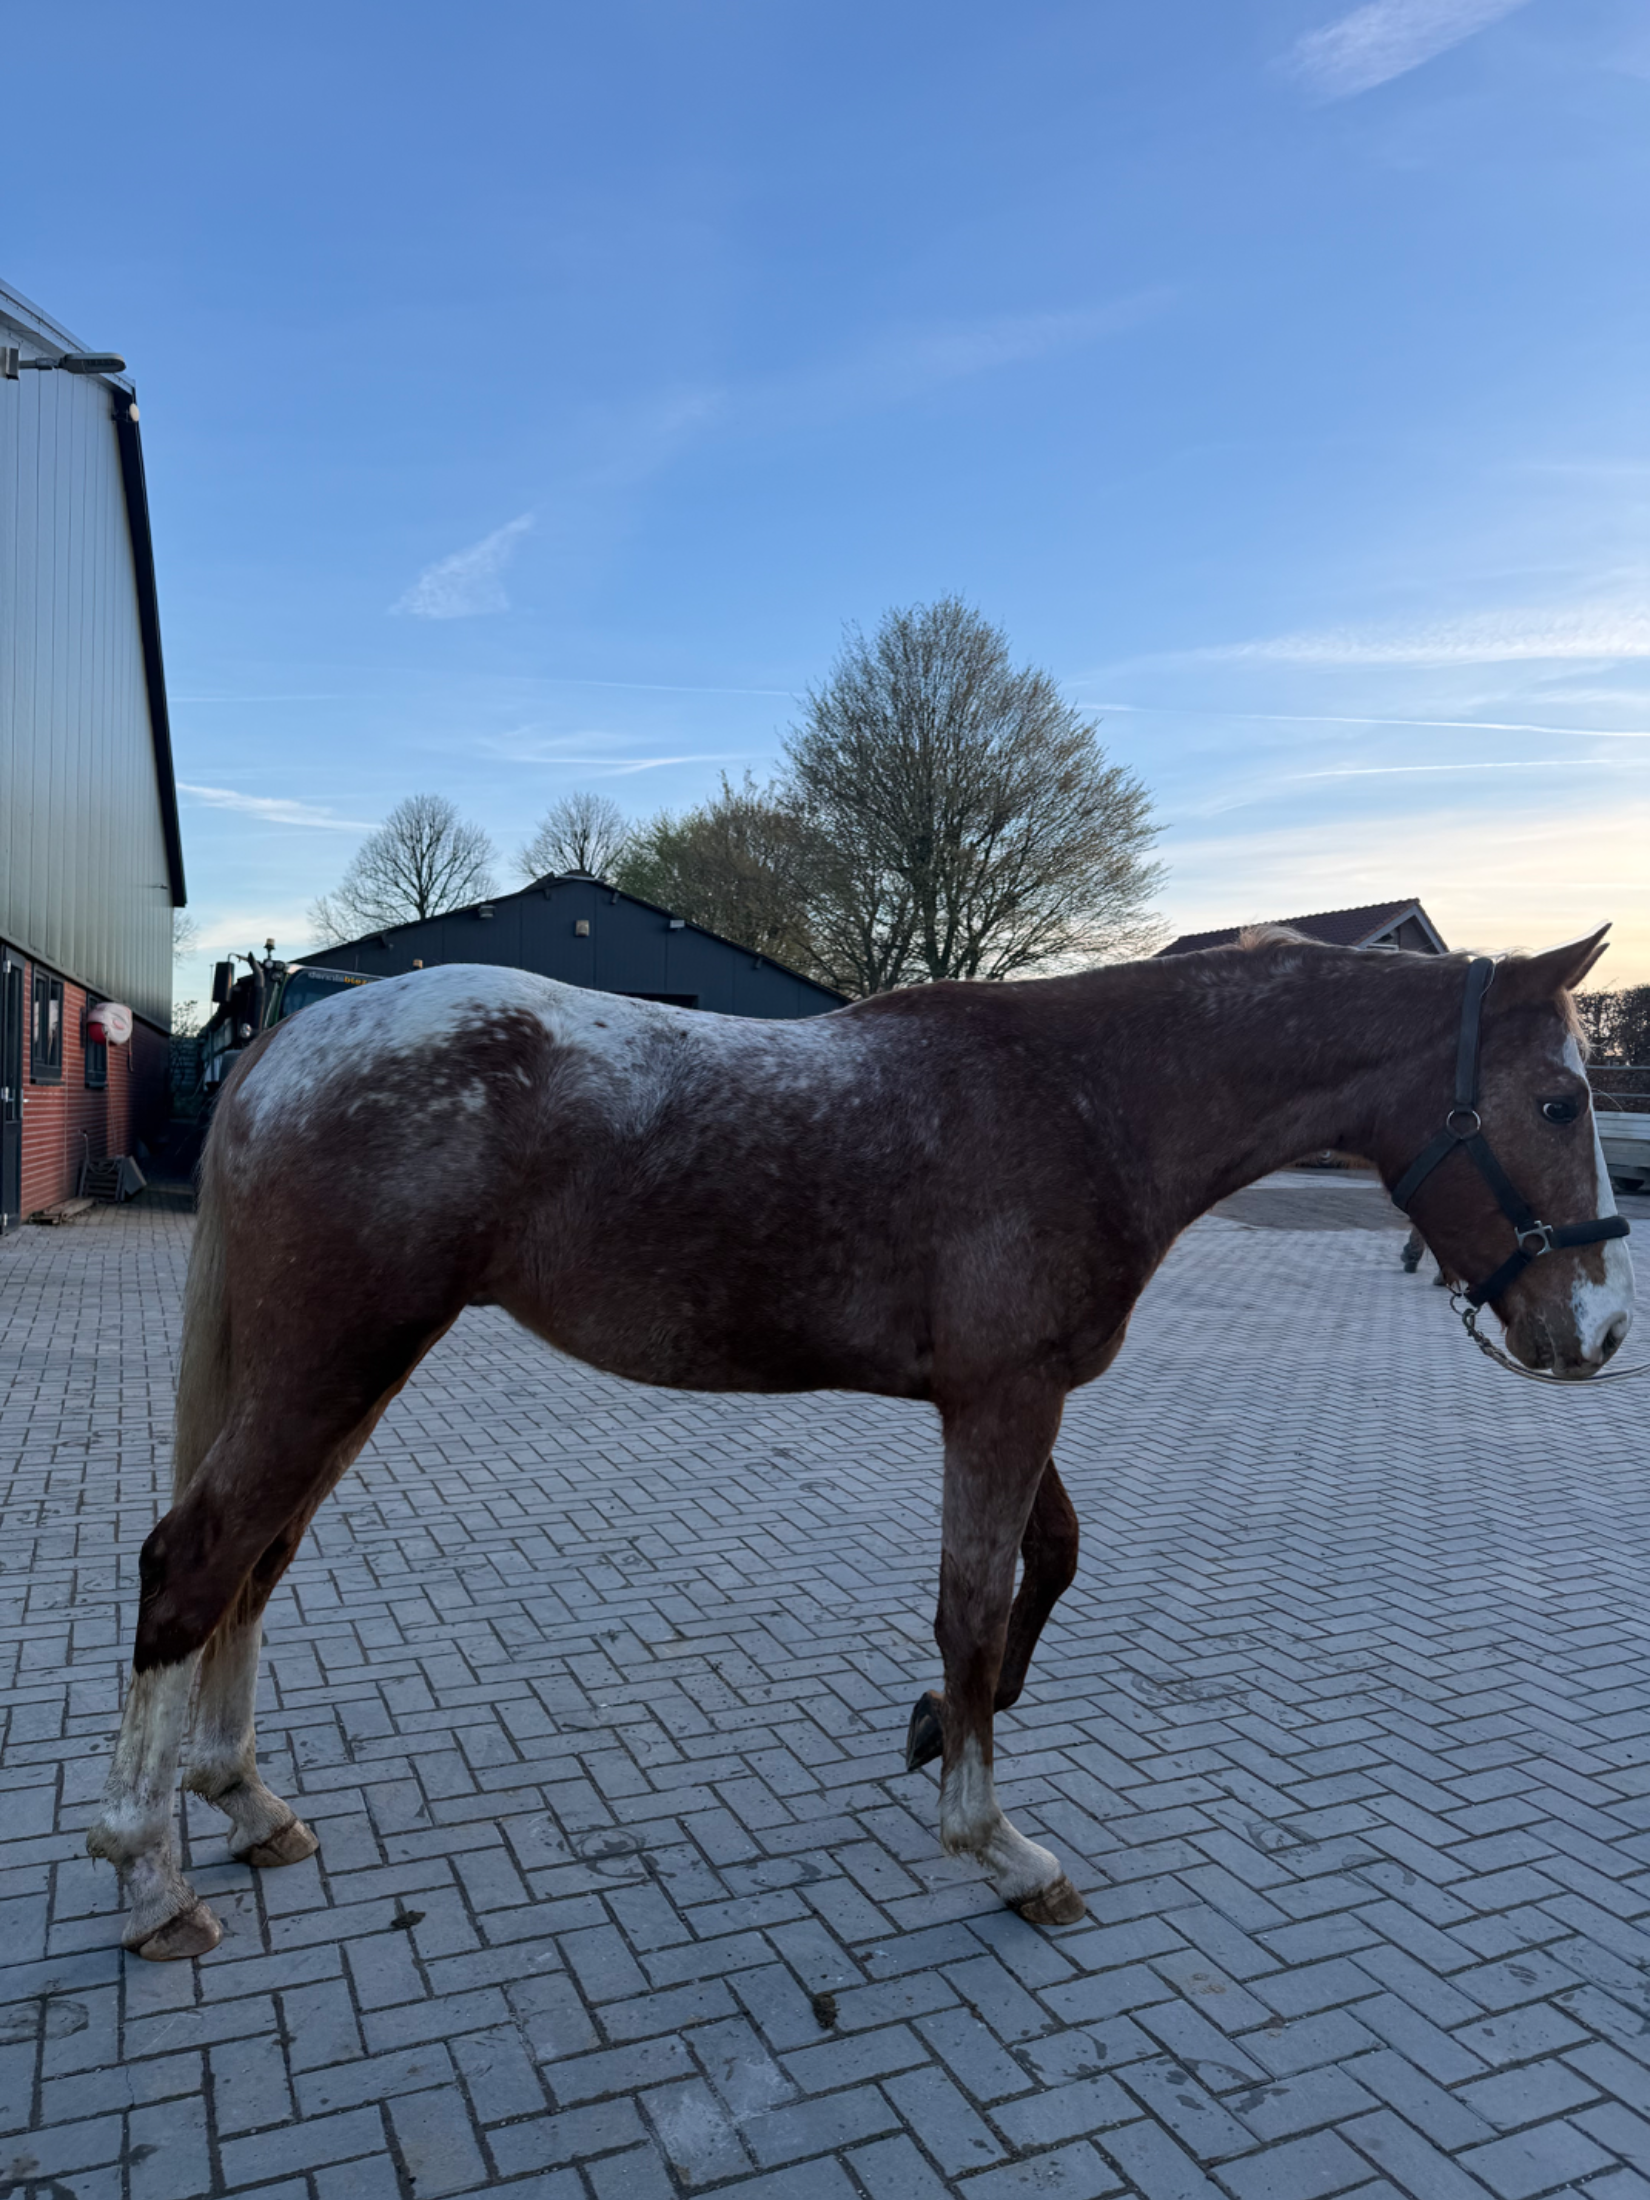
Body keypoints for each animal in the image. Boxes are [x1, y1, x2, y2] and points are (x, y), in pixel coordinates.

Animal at [87, 925, 1635, 1959]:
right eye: (1557, 1101)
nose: (1600, 1331)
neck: (1089, 1098)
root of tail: (294, 1038)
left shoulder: (1003, 1395)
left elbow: (1052, 1563)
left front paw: (938, 1726)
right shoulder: (1005, 1402)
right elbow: (976, 1606)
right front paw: (998, 1844)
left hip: (353, 1372)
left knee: (257, 1564)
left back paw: (243, 1804)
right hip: (332, 1362)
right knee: (192, 1564)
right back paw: (152, 1878)